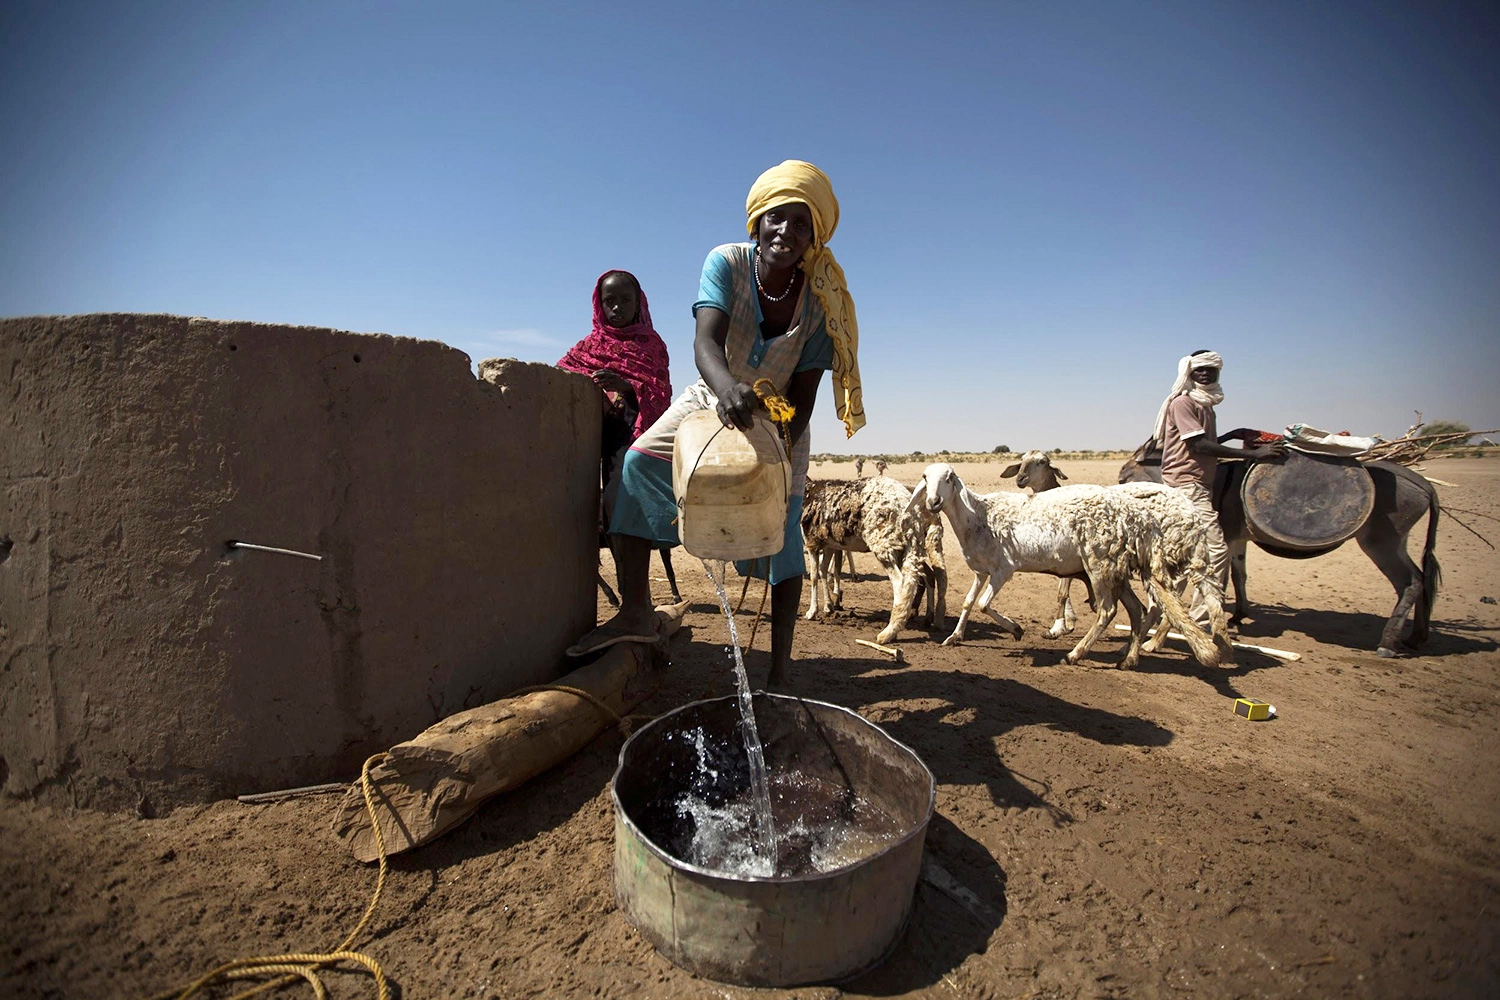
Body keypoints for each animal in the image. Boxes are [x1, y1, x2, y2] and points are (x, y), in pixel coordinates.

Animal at [906, 464, 1224, 668]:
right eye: (924, 476)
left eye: (949, 477)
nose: (933, 501)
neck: (978, 517)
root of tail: (1134, 517)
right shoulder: (981, 571)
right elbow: (969, 603)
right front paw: (955, 636)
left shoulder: (1002, 570)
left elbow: (984, 605)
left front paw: (1017, 630)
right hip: (1115, 568)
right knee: (1137, 610)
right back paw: (1129, 659)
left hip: (1099, 565)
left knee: (1108, 611)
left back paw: (1075, 655)